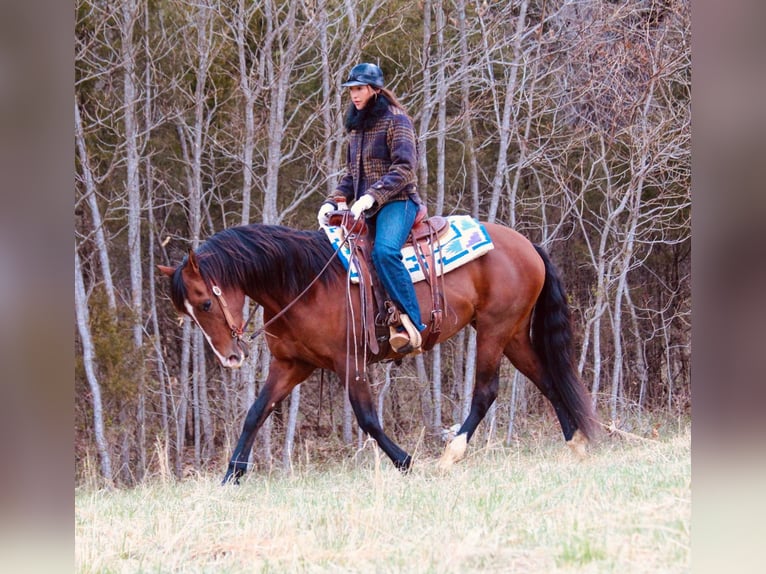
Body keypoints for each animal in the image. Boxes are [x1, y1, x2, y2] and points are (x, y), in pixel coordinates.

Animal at [158, 220, 600, 486]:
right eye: (188, 311)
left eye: (206, 303)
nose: (230, 357)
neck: (302, 282)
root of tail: (526, 245)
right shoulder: (291, 365)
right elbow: (255, 413)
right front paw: (231, 475)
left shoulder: (349, 362)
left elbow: (367, 418)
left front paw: (405, 461)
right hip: (512, 335)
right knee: (547, 380)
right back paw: (575, 443)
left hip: (494, 331)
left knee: (487, 392)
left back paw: (450, 454)